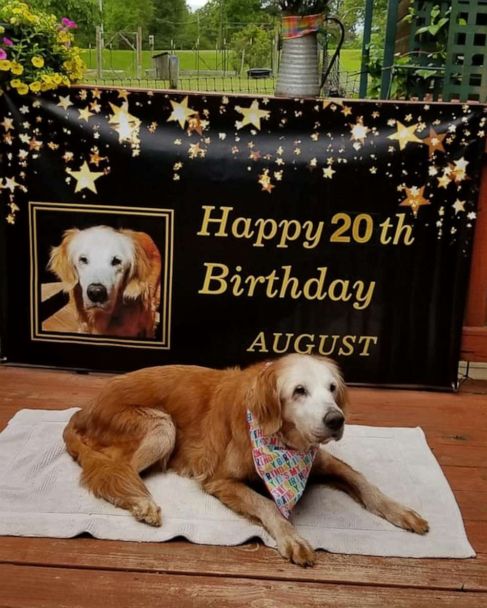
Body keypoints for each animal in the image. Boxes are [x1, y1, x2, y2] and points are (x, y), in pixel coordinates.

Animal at [63, 354, 428, 568]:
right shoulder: (220, 480)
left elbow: (365, 482)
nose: (336, 420)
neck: (282, 440)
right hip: (162, 427)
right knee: (115, 471)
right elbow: (267, 505)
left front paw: (401, 511)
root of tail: (85, 409)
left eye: (332, 388)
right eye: (299, 390)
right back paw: (142, 503)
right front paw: (292, 537)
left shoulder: (321, 460)